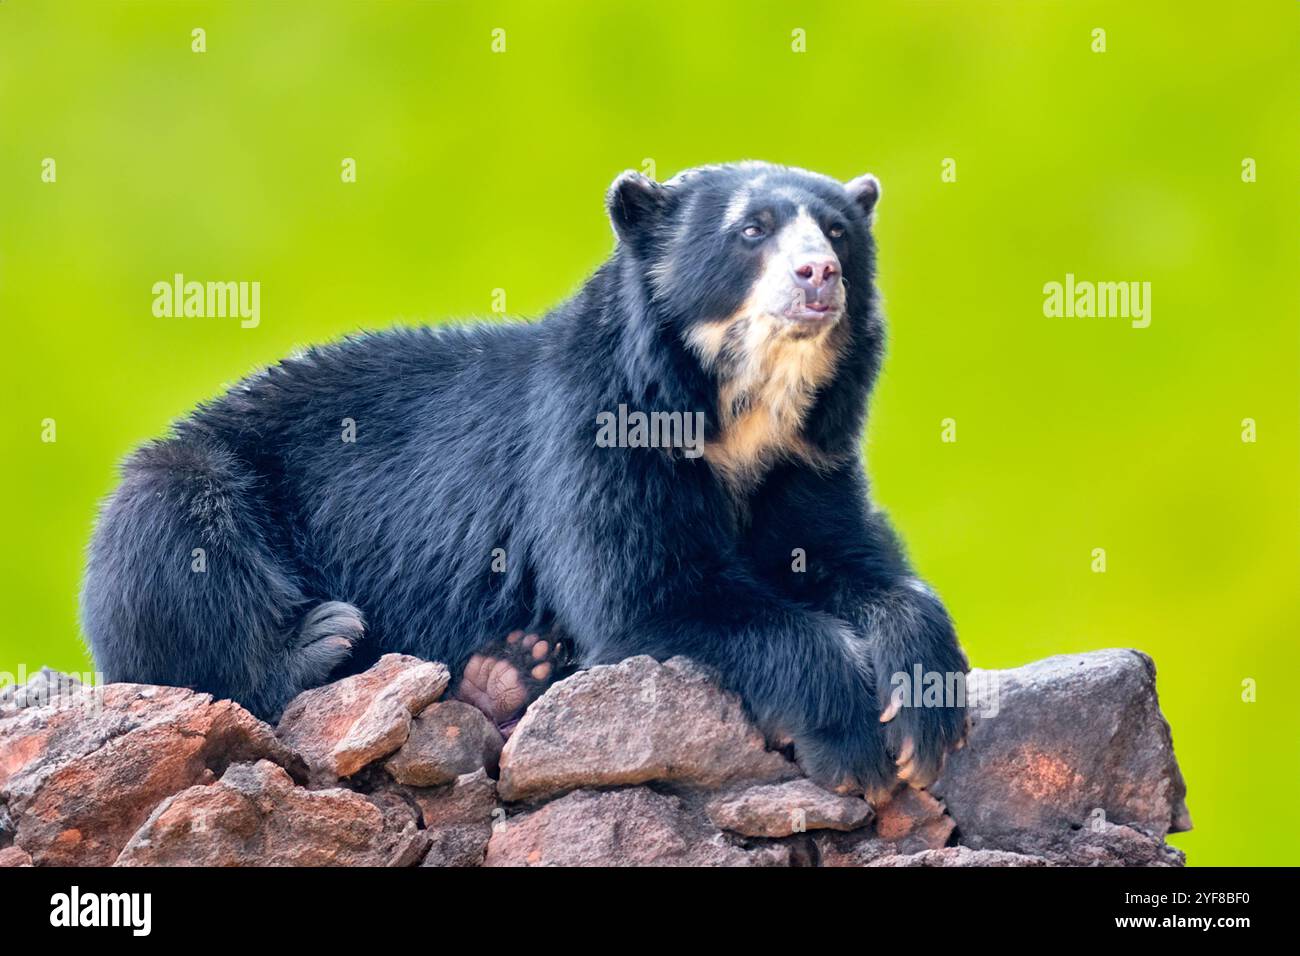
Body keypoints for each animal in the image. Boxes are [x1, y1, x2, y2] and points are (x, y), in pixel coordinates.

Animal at [82, 161, 968, 797]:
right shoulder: (594, 433)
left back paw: (512, 670)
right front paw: (852, 739)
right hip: (198, 478)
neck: (738, 414)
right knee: (174, 551)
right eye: (751, 229)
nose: (819, 275)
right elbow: (649, 595)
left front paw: (924, 717)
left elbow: (854, 563)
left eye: (838, 231)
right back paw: (327, 642)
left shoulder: (809, 458)